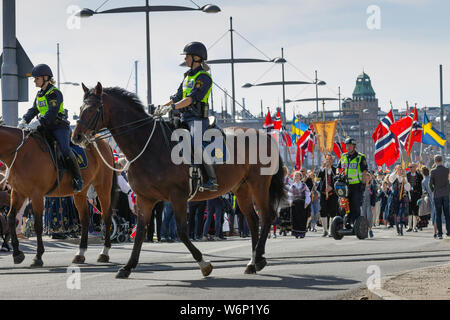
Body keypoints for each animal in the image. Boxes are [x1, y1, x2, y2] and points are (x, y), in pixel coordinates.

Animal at [0, 122, 115, 264]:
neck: (21, 153)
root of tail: (103, 141)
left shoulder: (36, 194)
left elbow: (38, 225)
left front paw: (38, 256)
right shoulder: (18, 193)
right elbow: (11, 218)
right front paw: (17, 253)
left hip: (103, 186)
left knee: (106, 215)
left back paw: (104, 252)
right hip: (81, 192)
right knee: (85, 218)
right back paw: (80, 253)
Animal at [72, 83, 286, 280]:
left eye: (93, 109)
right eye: (80, 108)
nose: (76, 137)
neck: (149, 146)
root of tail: (264, 135)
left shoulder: (178, 197)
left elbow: (182, 232)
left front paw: (204, 264)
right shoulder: (144, 199)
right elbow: (140, 231)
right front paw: (127, 267)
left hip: (258, 185)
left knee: (266, 217)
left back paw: (258, 258)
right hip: (242, 189)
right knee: (253, 220)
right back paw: (253, 262)